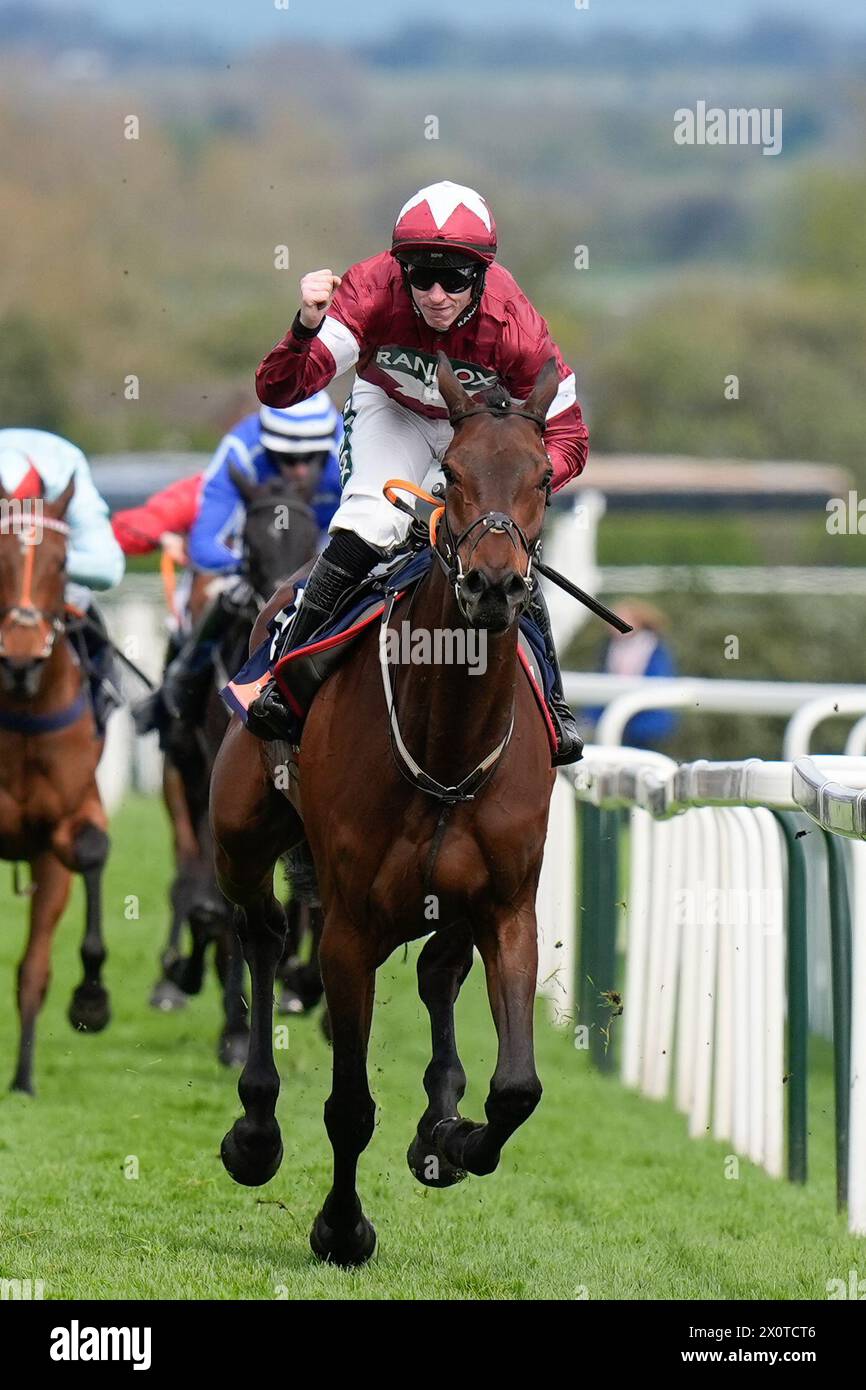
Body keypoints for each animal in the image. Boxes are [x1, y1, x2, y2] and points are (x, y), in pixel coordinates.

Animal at [148, 472, 325, 1067]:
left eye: (311, 534)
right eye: (250, 541)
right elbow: (221, 908)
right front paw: (234, 1031)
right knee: (191, 882)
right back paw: (180, 975)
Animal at [214, 355, 558, 1273]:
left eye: (545, 478)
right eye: (452, 477)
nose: (495, 584)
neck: (447, 739)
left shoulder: (508, 905)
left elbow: (518, 1087)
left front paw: (456, 1137)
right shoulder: (350, 928)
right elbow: (347, 1106)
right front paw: (341, 1227)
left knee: (439, 970)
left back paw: (440, 1117)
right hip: (239, 835)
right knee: (260, 934)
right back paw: (255, 1129)